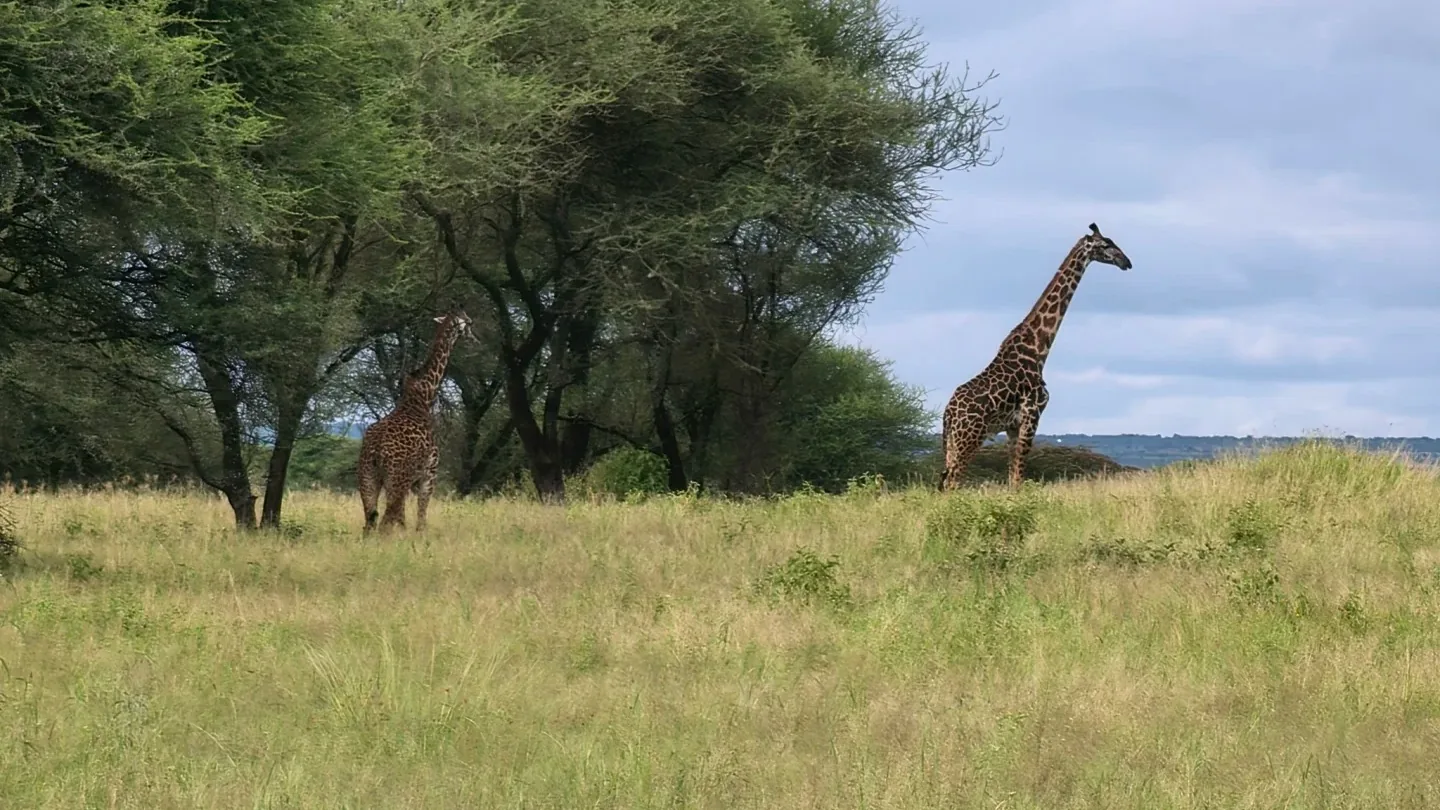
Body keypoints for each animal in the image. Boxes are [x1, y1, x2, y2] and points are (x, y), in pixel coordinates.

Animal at [357, 309, 476, 533]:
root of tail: (376, 450)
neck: (424, 397)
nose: (474, 339)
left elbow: (404, 521)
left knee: (371, 521)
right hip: (397, 479)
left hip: (368, 477)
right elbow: (420, 520)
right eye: (469, 323)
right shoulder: (429, 474)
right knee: (385, 521)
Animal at [939, 223, 1133, 490]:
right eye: (1105, 245)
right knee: (952, 483)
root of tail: (948, 413)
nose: (1127, 262)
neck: (1038, 349)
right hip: (969, 437)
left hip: (952, 442)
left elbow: (1013, 477)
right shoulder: (1032, 416)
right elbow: (1019, 477)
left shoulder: (1012, 426)